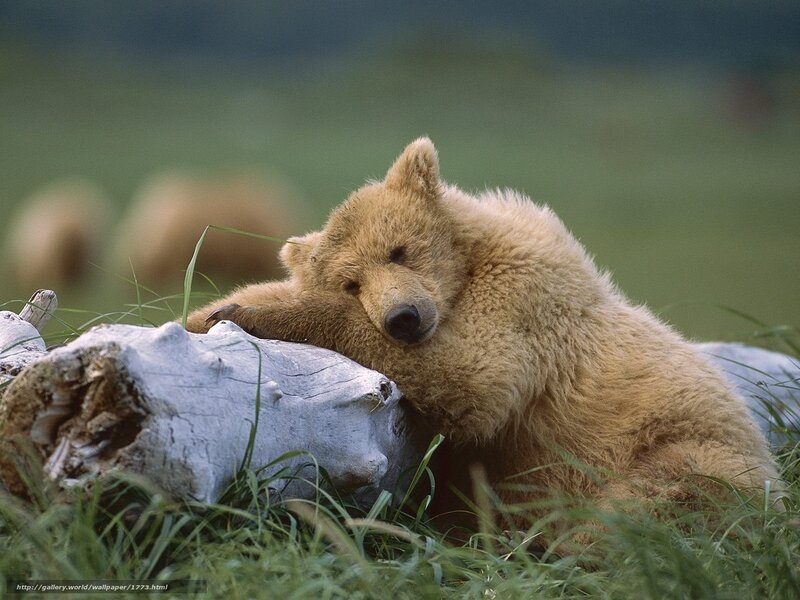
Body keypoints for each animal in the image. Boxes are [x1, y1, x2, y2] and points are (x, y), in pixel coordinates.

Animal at [185, 137, 780, 538]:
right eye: (352, 282)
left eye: (399, 250)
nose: (402, 317)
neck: (467, 267)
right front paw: (210, 311)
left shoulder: (524, 300)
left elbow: (472, 377)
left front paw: (251, 314)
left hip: (686, 448)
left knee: (655, 501)